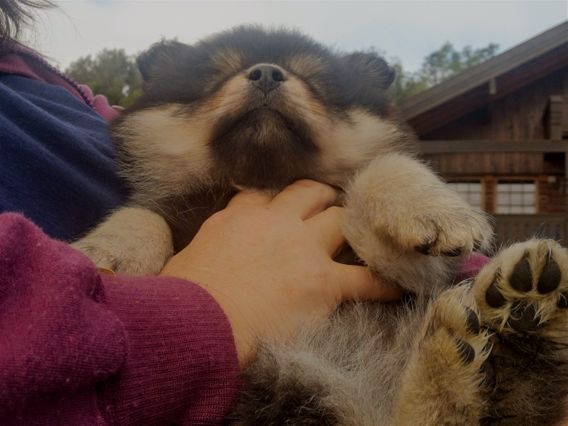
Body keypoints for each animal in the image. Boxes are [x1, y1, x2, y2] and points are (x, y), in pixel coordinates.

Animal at [74, 27, 568, 426]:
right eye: (217, 74)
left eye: (317, 82)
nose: (266, 73)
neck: (266, 181)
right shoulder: (175, 208)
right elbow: (145, 214)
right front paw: (109, 250)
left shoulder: (406, 274)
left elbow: (376, 173)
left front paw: (433, 207)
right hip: (281, 385)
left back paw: (519, 315)